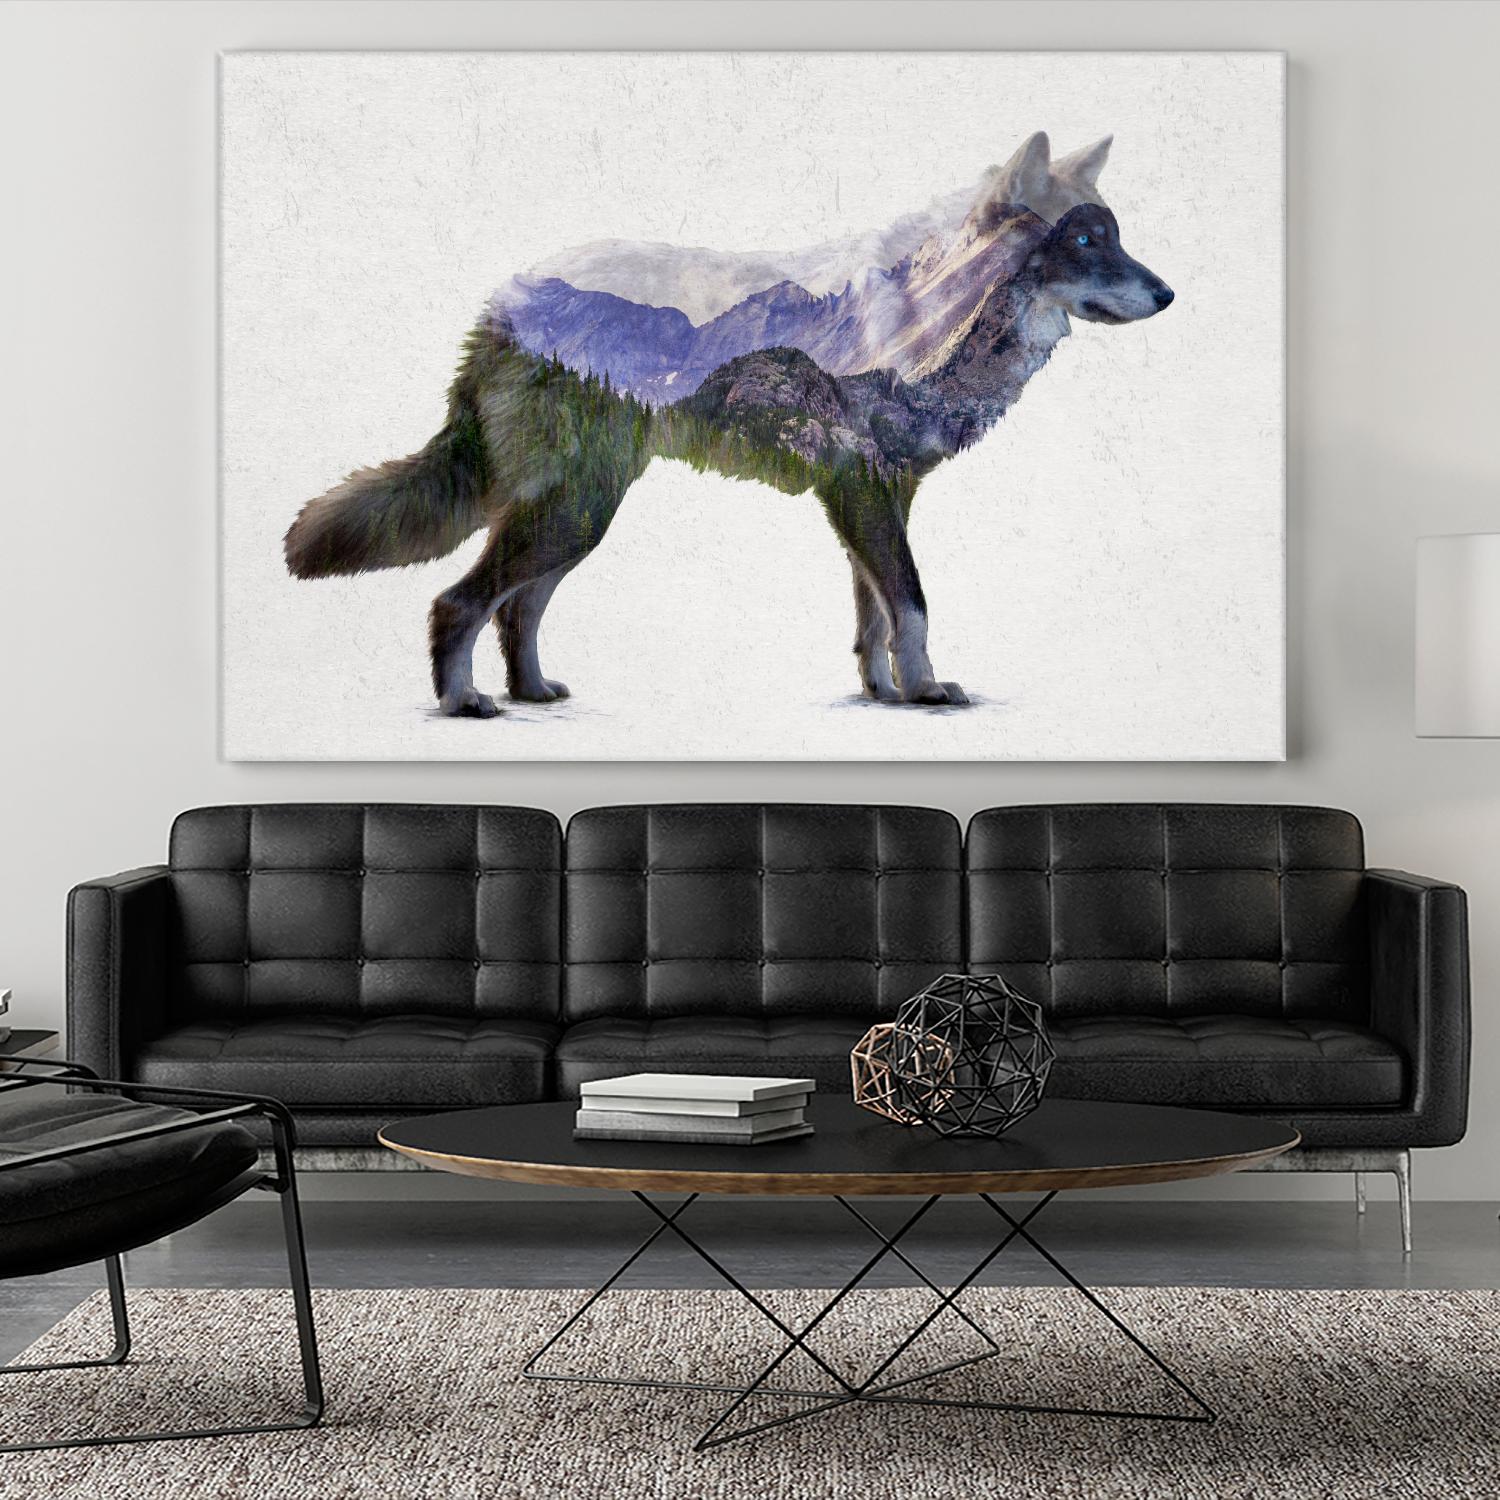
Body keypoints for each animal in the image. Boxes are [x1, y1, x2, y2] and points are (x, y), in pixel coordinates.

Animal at [284, 199, 1173, 717]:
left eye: (1117, 239)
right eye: (1086, 242)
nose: (1169, 294)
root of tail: (501, 309)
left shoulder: (870, 503)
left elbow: (875, 618)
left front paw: (884, 693)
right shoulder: (864, 497)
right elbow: (913, 606)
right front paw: (925, 692)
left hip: (580, 515)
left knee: (515, 609)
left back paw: (532, 692)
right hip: (574, 514)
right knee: (458, 602)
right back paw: (466, 704)